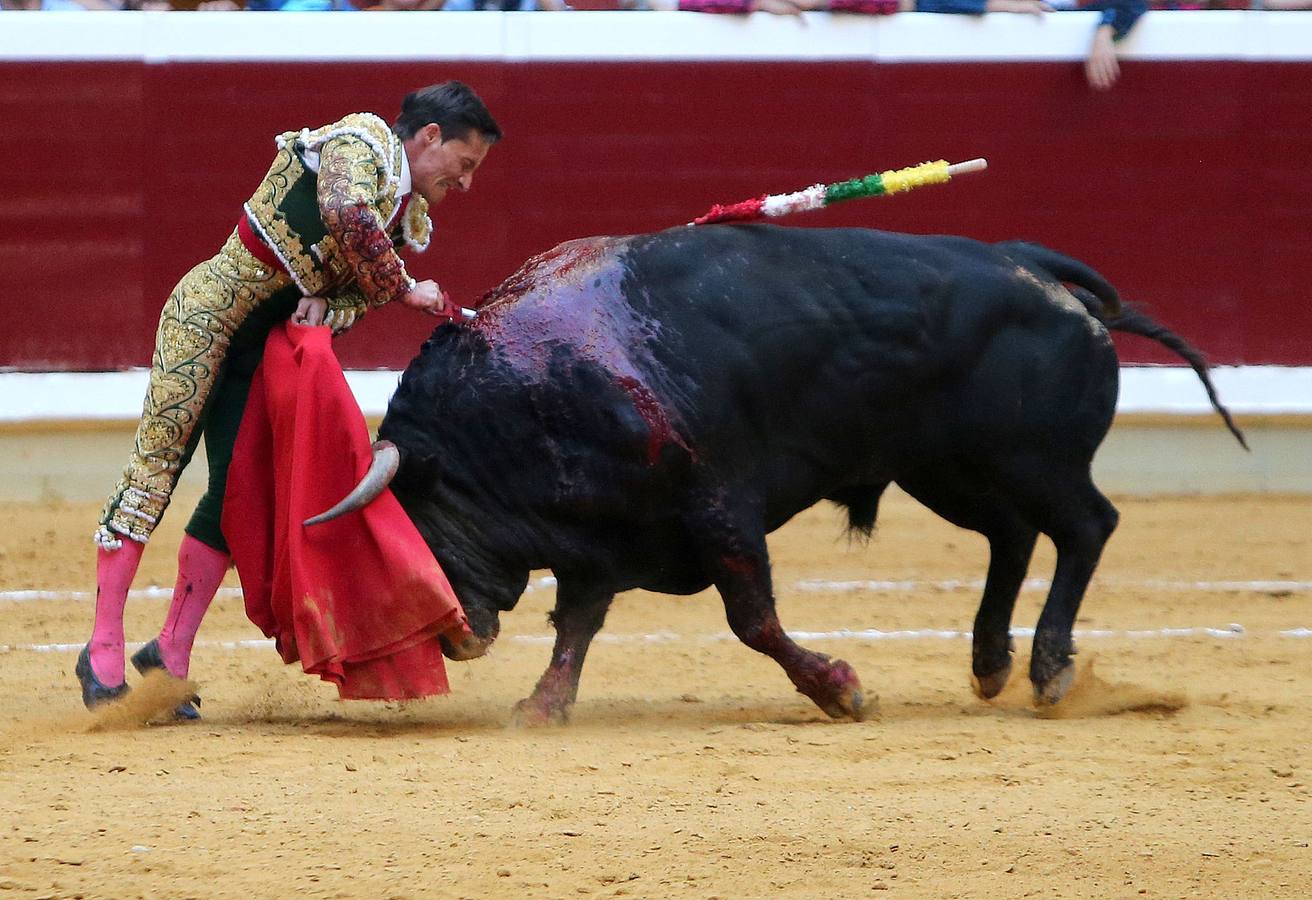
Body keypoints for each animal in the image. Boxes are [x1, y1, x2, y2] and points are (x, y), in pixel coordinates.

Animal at [362, 224, 1249, 724]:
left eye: (416, 525)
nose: (453, 638)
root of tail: (1031, 266)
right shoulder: (605, 535)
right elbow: (577, 623)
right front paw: (543, 707)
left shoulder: (717, 506)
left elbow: (751, 619)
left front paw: (841, 691)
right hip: (948, 470)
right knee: (1013, 535)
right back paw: (991, 663)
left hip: (1036, 460)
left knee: (1087, 526)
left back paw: (1049, 670)